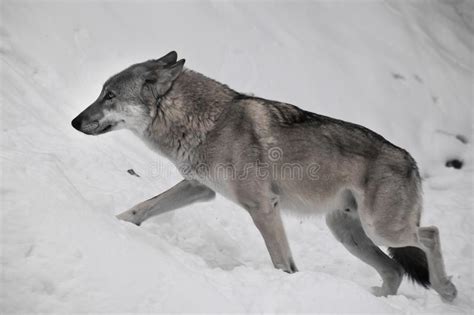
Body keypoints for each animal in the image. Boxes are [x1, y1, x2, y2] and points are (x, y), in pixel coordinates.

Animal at [72, 50, 458, 302]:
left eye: (110, 96)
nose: (74, 121)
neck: (208, 122)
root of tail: (412, 161)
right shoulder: (200, 188)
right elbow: (141, 208)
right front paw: (111, 224)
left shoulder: (262, 207)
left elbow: (282, 263)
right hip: (347, 233)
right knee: (394, 270)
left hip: (383, 230)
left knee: (431, 234)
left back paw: (447, 290)